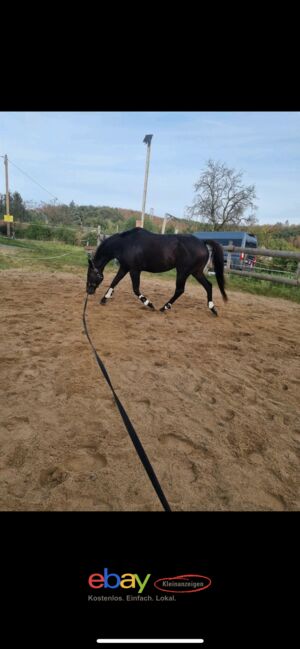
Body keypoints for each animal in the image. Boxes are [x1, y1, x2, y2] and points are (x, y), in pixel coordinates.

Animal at [86, 228, 227, 314]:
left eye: (91, 274)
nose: (89, 291)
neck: (126, 244)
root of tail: (202, 242)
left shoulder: (134, 270)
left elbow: (135, 289)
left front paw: (149, 304)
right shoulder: (125, 267)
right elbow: (114, 282)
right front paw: (104, 299)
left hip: (183, 271)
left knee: (180, 290)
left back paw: (164, 307)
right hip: (196, 272)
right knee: (208, 286)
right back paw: (212, 308)